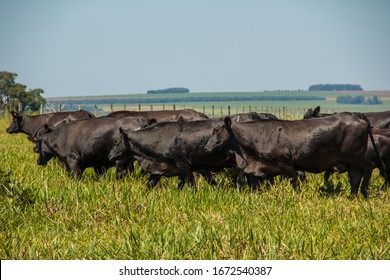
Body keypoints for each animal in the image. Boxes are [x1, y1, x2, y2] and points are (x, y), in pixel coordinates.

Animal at [107, 119, 235, 189]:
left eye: (116, 142)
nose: (109, 156)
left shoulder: (184, 165)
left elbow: (192, 184)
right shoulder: (158, 169)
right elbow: (150, 186)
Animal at [206, 113, 376, 197]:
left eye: (216, 130)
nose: (207, 148)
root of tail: (358, 117)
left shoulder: (286, 165)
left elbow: (295, 184)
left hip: (356, 158)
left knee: (363, 172)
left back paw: (360, 194)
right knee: (355, 176)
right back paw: (353, 196)